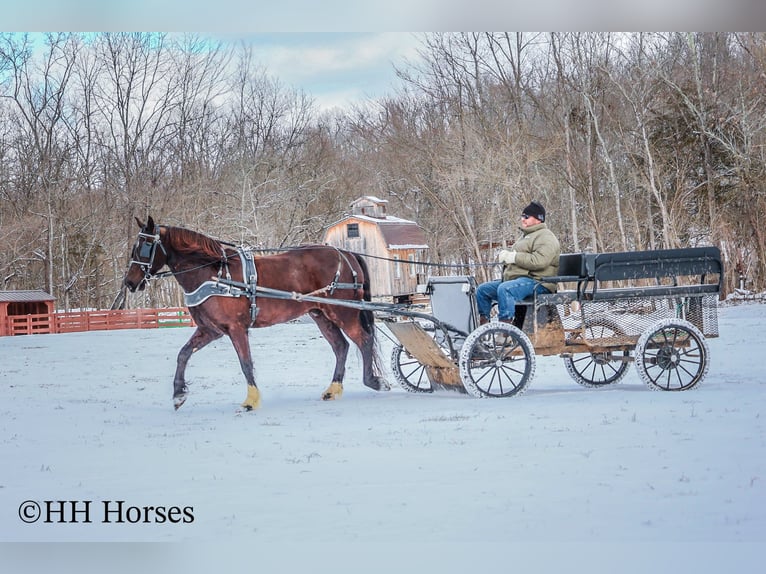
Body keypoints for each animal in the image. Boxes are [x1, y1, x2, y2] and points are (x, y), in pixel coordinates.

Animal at [123, 216, 388, 410]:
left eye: (145, 245)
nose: (129, 282)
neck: (214, 274)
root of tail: (346, 253)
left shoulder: (236, 329)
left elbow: (246, 363)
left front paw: (251, 399)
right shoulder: (210, 330)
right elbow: (183, 354)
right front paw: (179, 394)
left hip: (343, 312)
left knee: (363, 340)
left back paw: (374, 380)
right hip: (321, 315)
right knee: (341, 347)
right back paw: (334, 388)